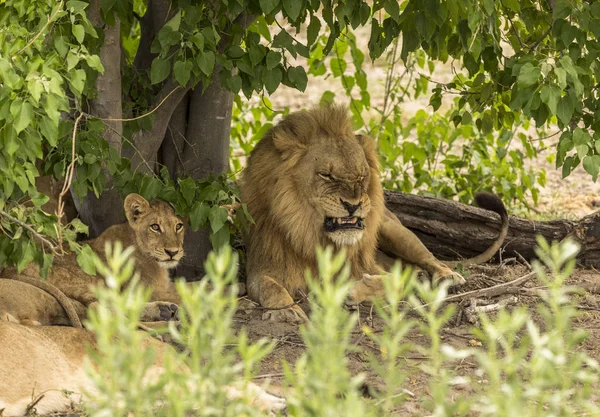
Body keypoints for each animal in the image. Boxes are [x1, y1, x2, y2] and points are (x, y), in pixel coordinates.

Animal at [1, 193, 186, 326]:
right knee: (101, 311)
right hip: (90, 283)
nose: (172, 252)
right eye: (155, 227)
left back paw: (165, 311)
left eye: (178, 226)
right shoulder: (153, 290)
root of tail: (9, 269)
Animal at [241, 103, 508, 322]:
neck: (313, 234)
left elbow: (390, 281)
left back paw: (448, 276)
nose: (353, 205)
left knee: (431, 259)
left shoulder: (368, 267)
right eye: (326, 175)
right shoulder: (262, 266)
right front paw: (286, 310)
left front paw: (351, 291)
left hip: (394, 231)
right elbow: (271, 287)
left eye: (361, 175)